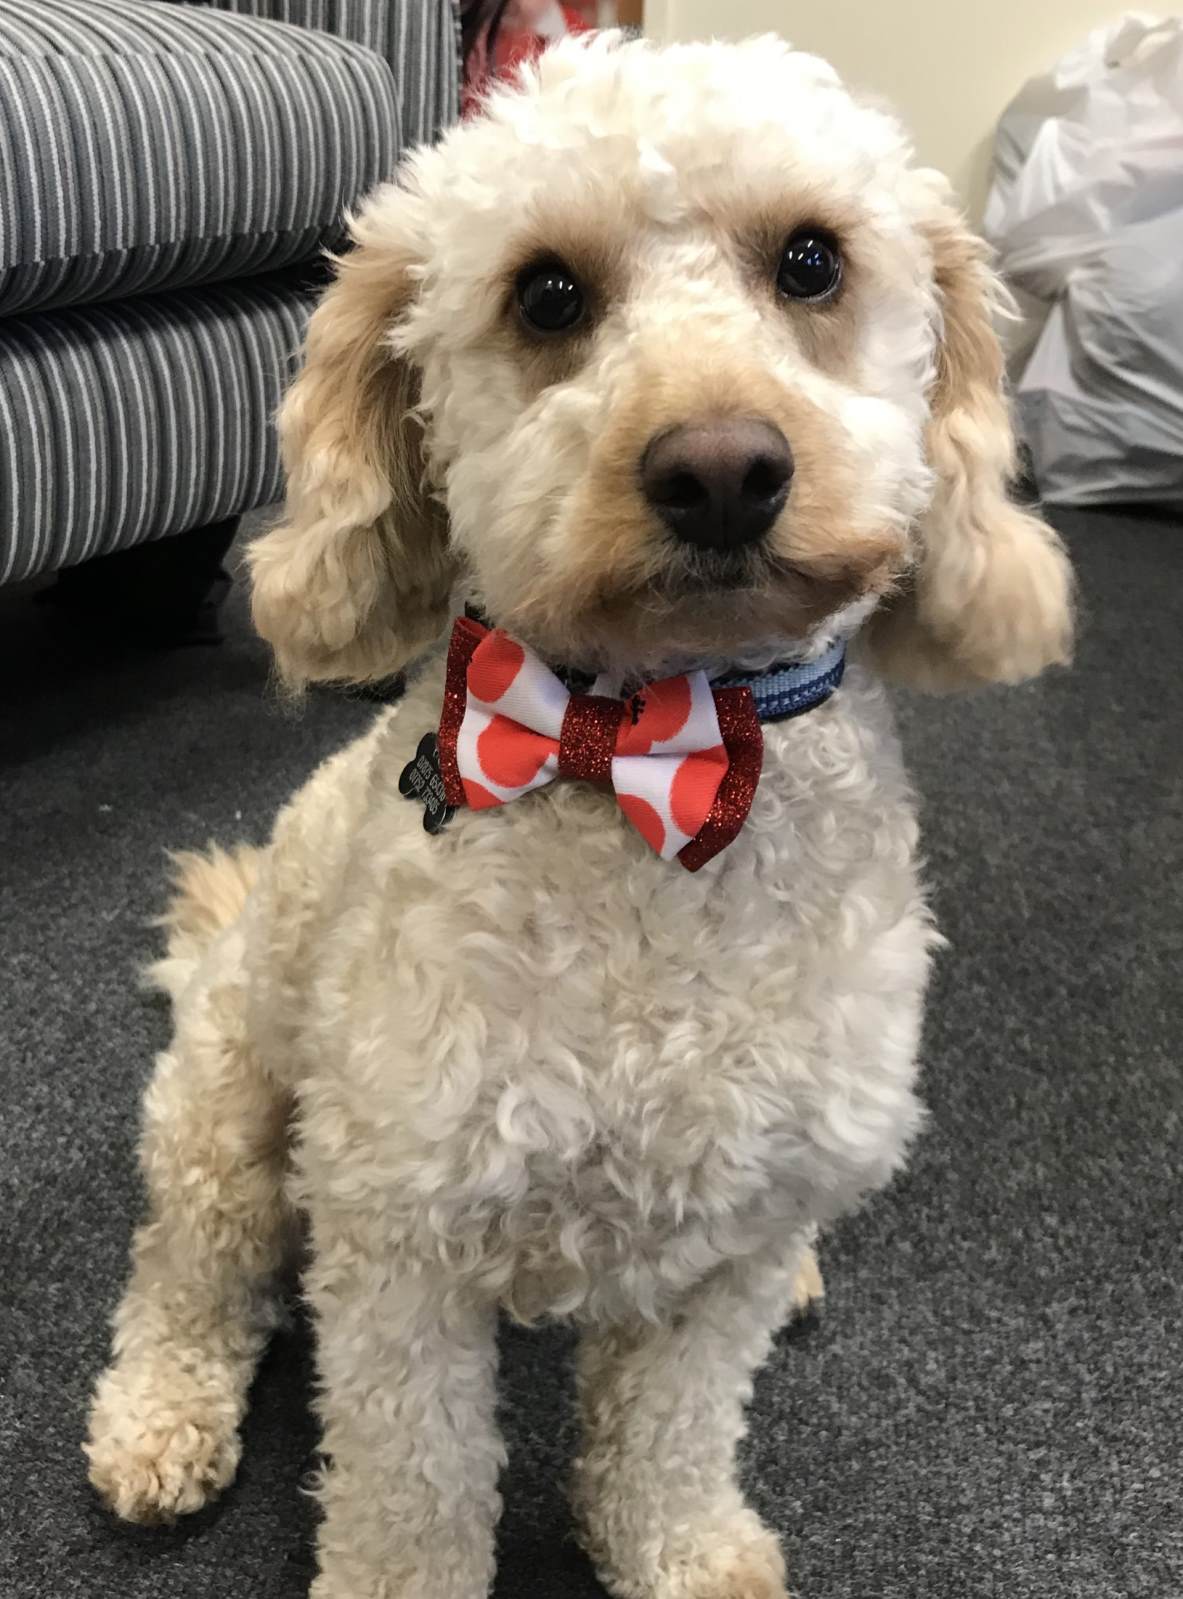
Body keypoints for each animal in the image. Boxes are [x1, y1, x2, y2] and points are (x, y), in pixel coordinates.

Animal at [86, 34, 1073, 1599]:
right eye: (547, 294)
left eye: (810, 261)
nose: (721, 468)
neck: (649, 754)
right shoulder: (401, 1235)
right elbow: (414, 1491)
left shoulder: (723, 1247)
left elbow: (669, 1430)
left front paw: (683, 1552)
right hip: (225, 1112)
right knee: (191, 1268)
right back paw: (159, 1415)